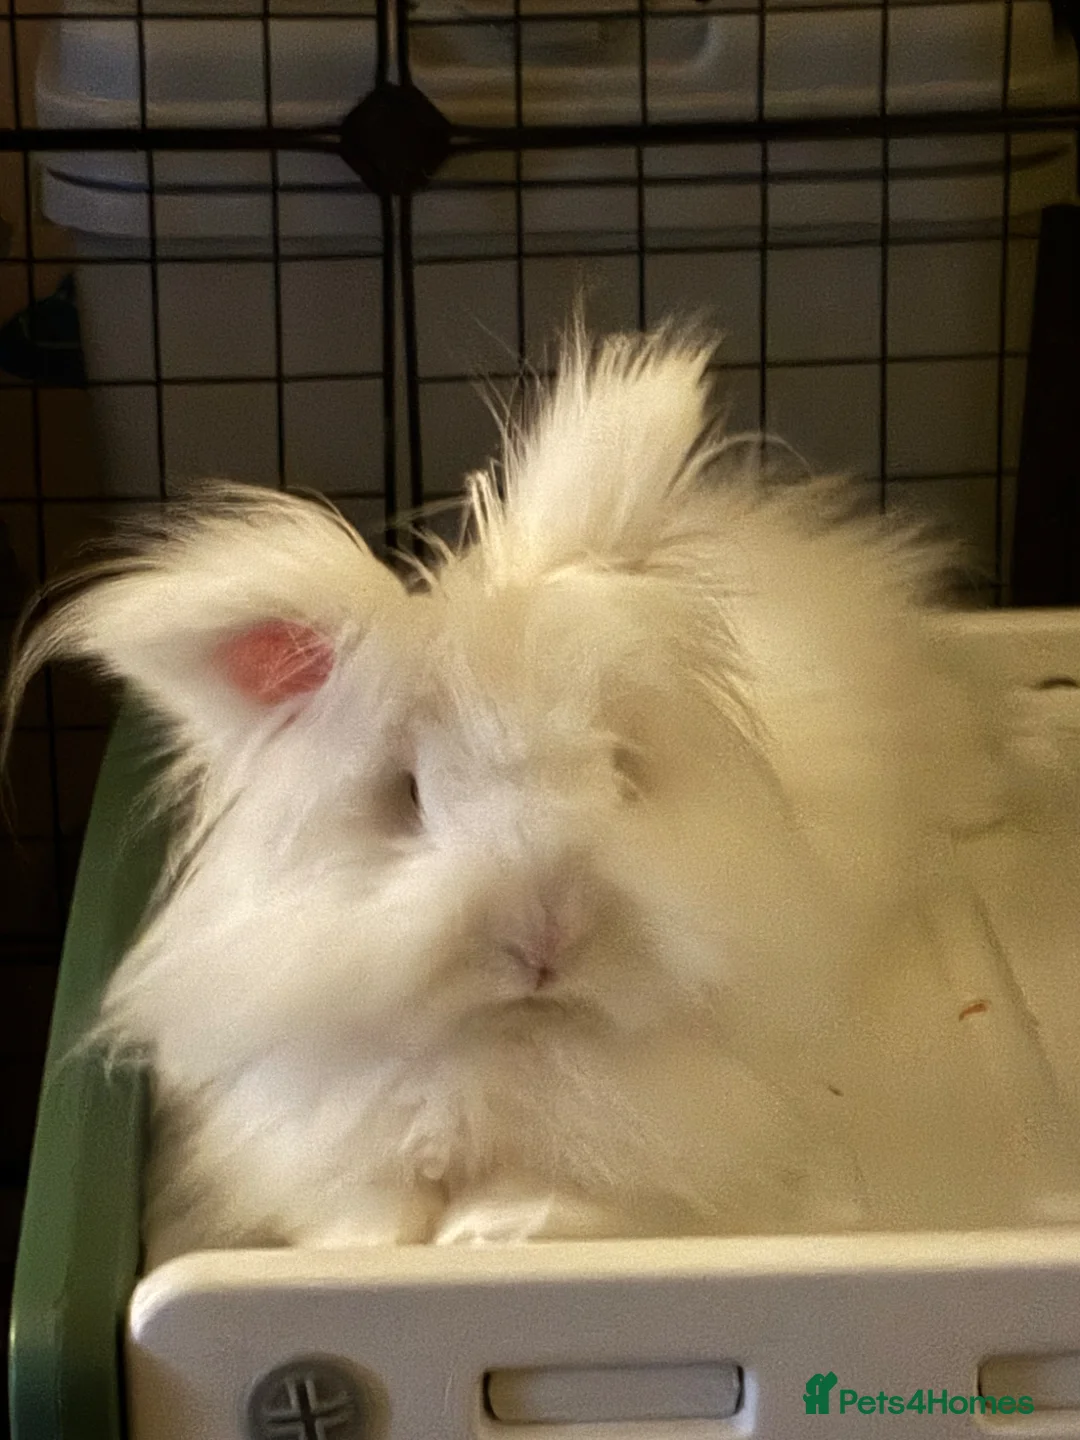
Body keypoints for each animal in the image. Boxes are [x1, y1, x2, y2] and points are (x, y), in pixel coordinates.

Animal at [5, 326, 1037, 1264]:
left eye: (618, 769)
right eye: (410, 795)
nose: (546, 935)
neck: (502, 1044)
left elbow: (566, 1195)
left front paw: (489, 1232)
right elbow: (357, 1201)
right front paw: (379, 1243)